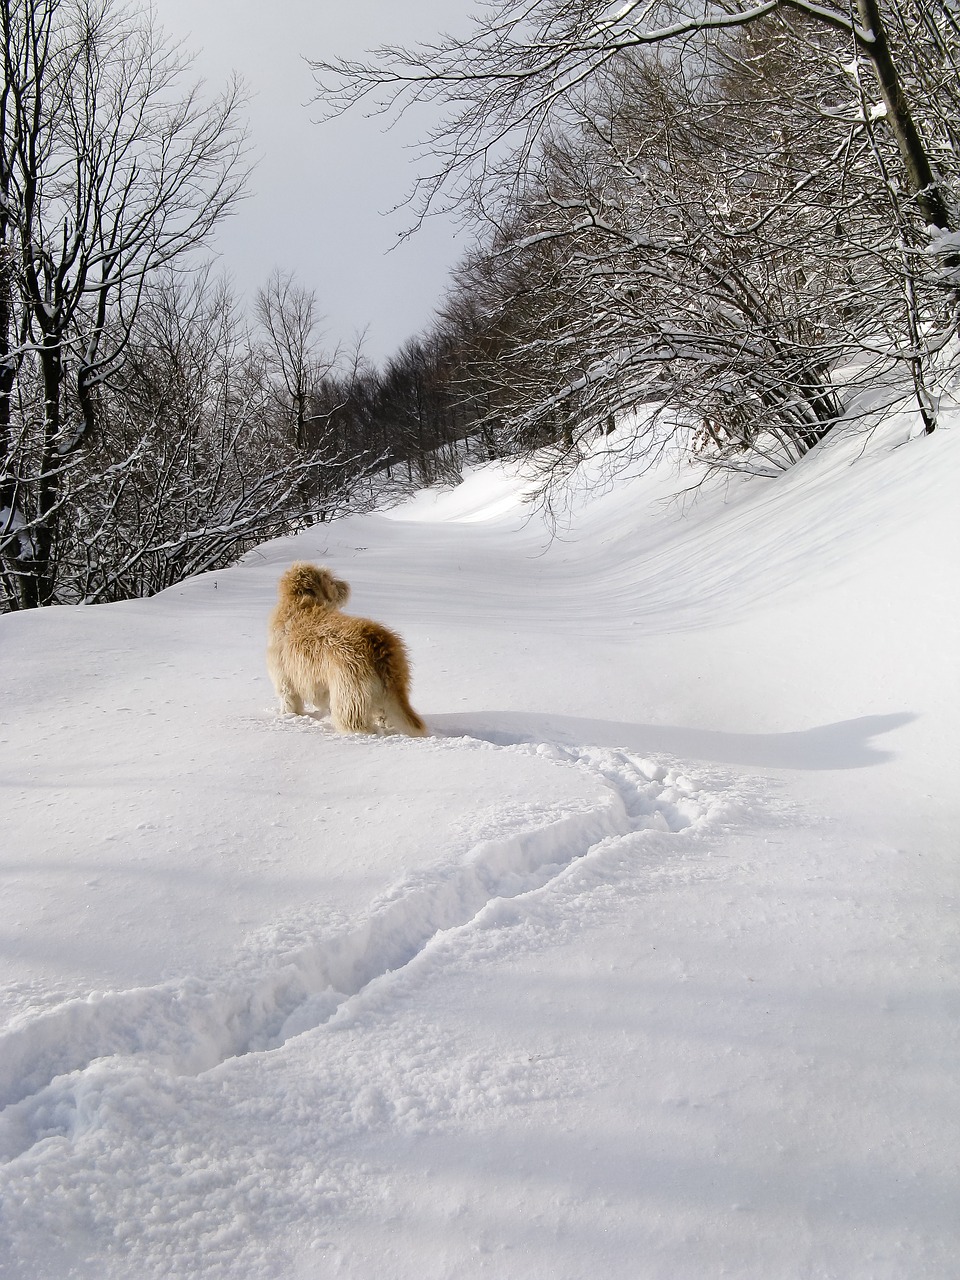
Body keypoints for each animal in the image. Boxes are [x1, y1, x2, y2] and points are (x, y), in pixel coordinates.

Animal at [264, 563, 427, 742]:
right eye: (330, 579)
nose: (346, 586)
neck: (299, 602)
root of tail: (377, 641)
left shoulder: (285, 680)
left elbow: (289, 702)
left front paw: (288, 716)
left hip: (349, 695)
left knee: (355, 723)